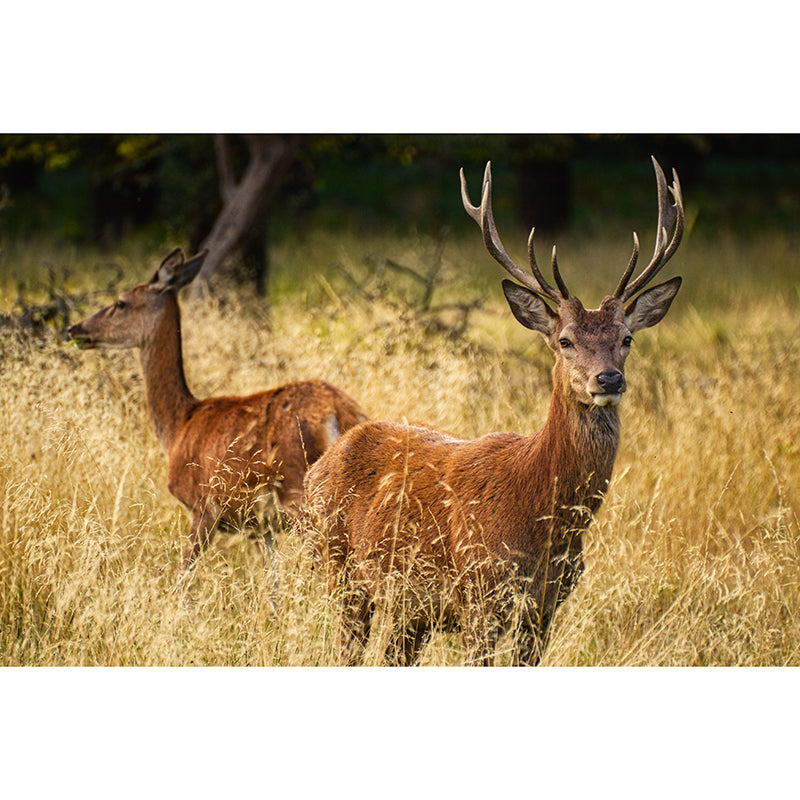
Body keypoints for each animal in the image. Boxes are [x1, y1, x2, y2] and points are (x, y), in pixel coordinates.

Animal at [67, 248, 368, 580]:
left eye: (120, 302)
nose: (74, 328)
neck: (178, 425)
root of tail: (339, 414)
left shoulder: (202, 507)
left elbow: (182, 577)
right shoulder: (260, 528)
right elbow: (272, 583)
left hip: (298, 490)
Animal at [304, 157, 685, 666]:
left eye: (626, 338)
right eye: (565, 340)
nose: (608, 380)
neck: (544, 519)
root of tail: (321, 464)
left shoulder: (546, 606)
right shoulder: (479, 595)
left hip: (408, 609)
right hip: (340, 569)